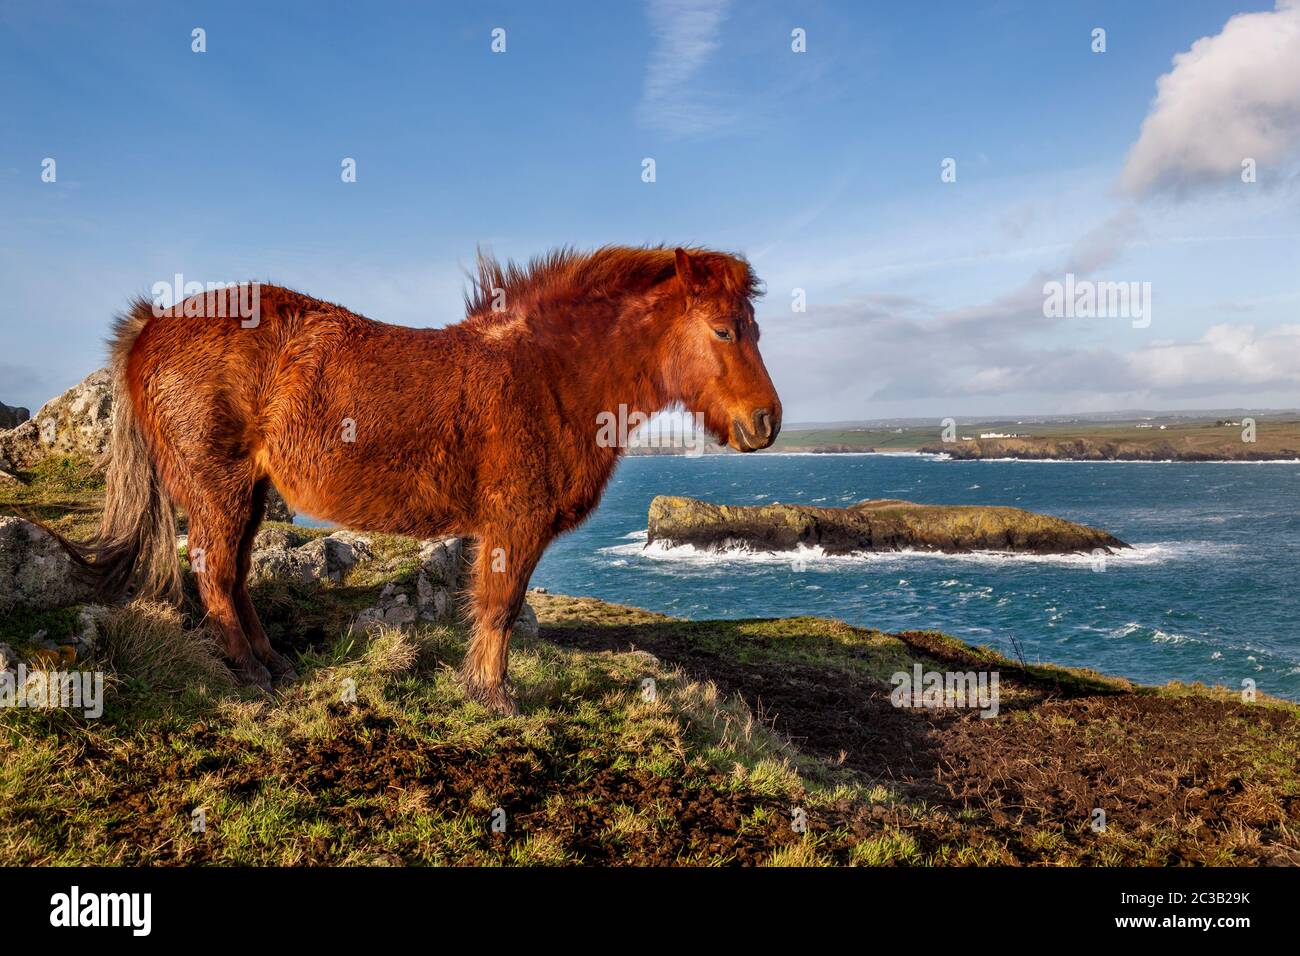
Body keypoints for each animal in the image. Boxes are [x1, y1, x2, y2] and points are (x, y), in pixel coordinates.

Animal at [68, 243, 780, 712]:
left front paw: (484, 689)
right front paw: (493, 696)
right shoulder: (514, 523)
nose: (767, 422)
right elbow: (500, 607)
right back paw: (248, 673)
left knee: (235, 576)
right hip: (219, 488)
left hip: (248, 492)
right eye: (723, 330)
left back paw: (274, 662)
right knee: (215, 575)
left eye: (754, 328)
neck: (549, 373)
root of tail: (153, 324)